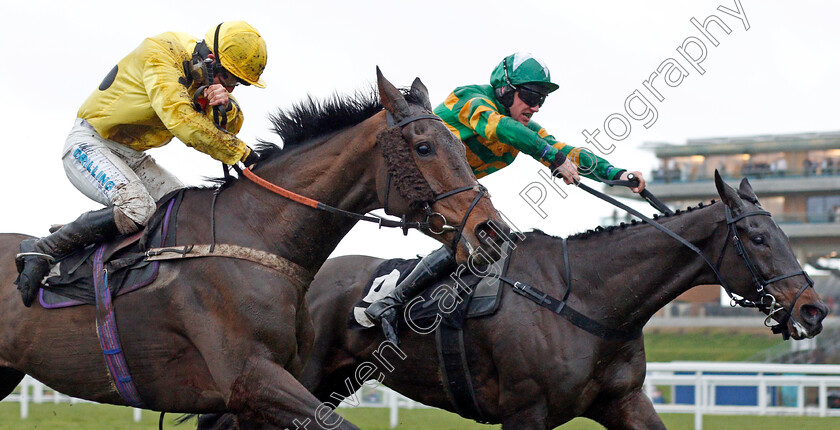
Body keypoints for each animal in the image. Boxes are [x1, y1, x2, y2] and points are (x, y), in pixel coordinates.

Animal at [0, 69, 502, 428]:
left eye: (462, 146)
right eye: (424, 147)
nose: (491, 232)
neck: (255, 235)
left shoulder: (271, 386)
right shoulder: (252, 380)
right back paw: (34, 257)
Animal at [292, 173, 824, 428]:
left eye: (783, 232)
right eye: (759, 238)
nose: (813, 310)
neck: (590, 298)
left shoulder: (623, 401)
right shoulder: (524, 412)